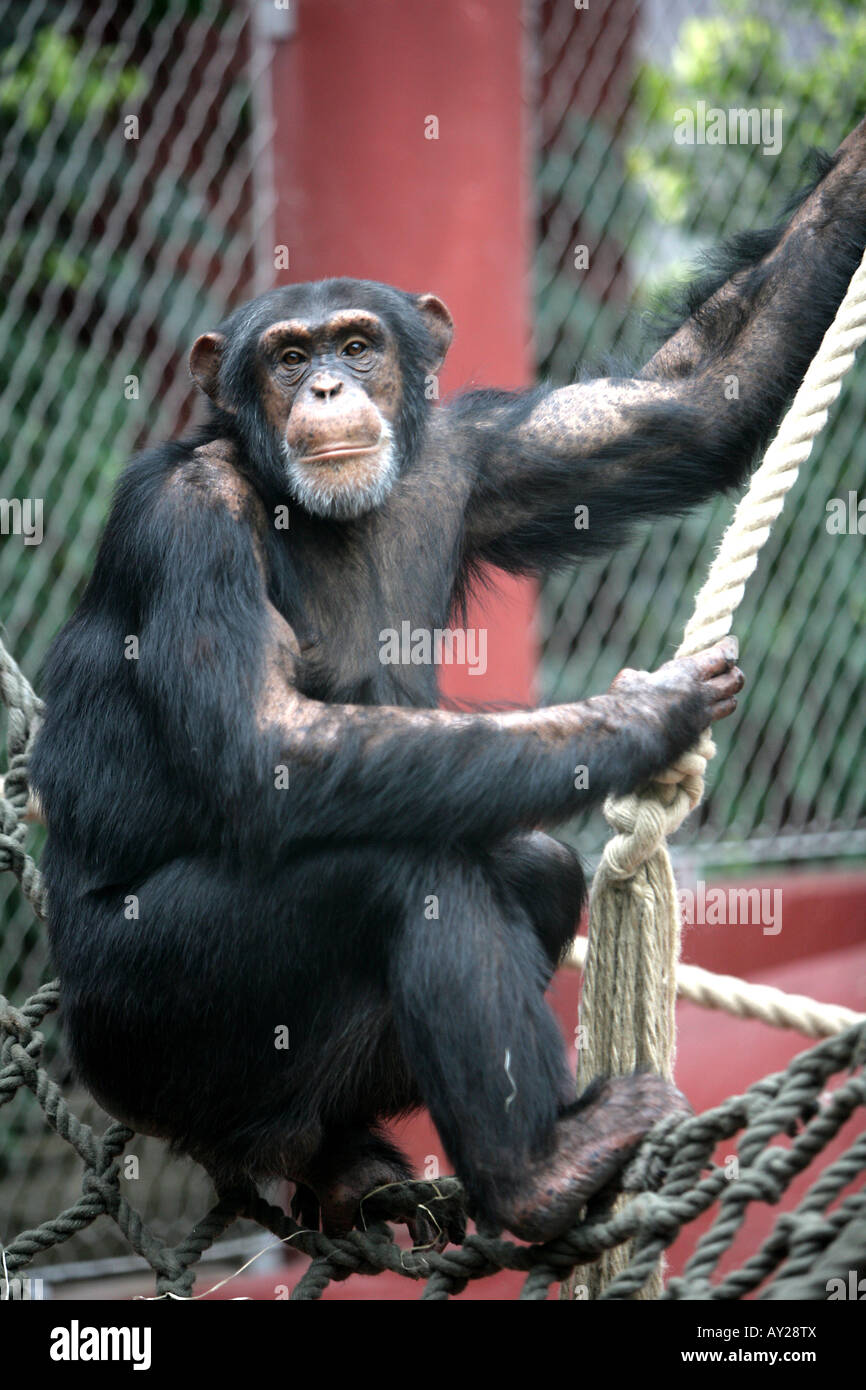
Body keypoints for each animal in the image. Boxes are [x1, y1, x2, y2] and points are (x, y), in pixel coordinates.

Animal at [30, 119, 866, 1245]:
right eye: (286, 356)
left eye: (356, 345)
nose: (326, 388)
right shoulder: (186, 520)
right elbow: (270, 741)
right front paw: (648, 715)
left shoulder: (476, 455)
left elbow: (695, 399)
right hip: (148, 1021)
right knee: (405, 865)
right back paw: (540, 1171)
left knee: (531, 868)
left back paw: (350, 1164)